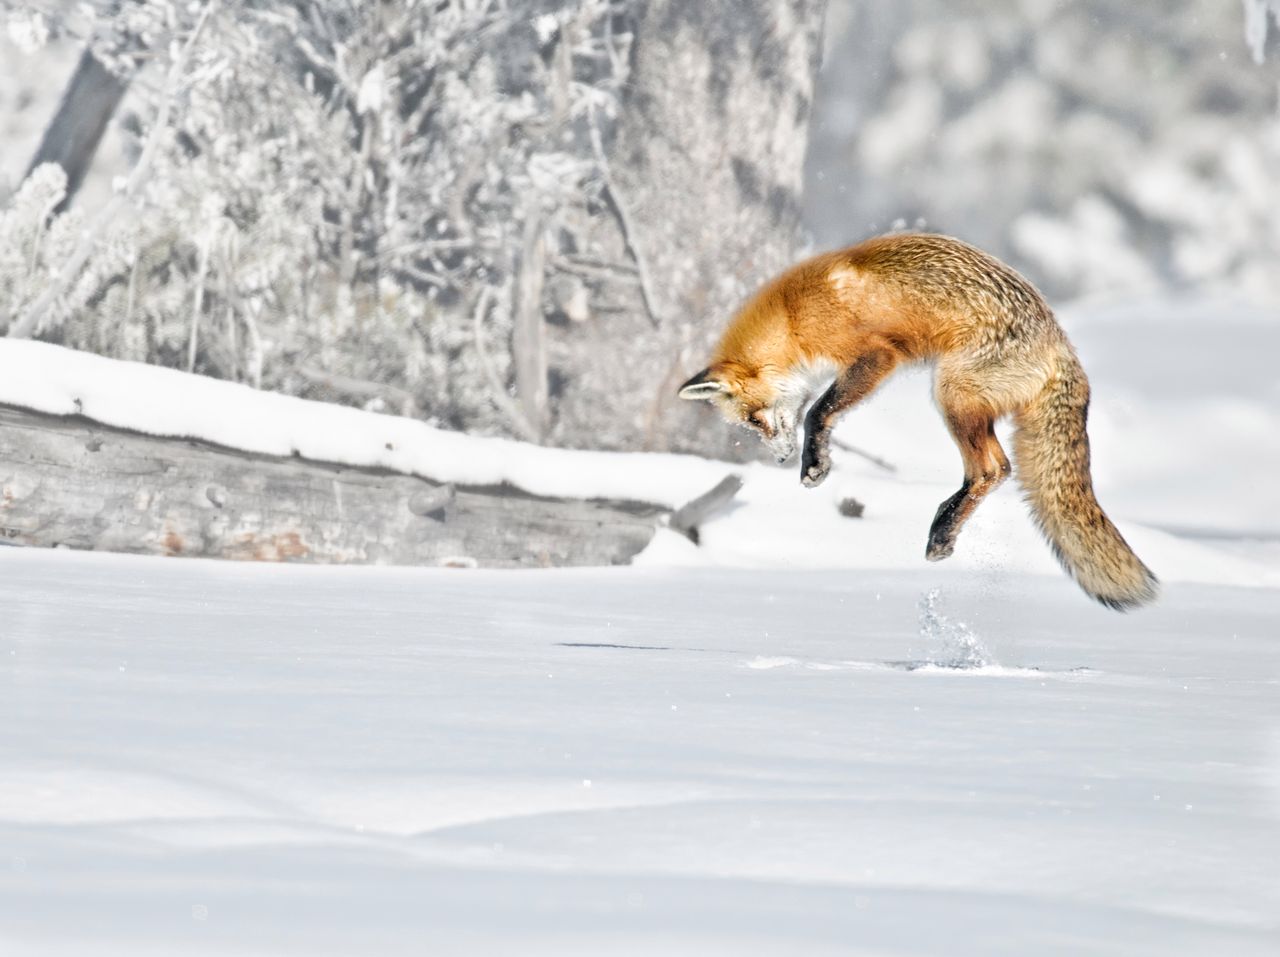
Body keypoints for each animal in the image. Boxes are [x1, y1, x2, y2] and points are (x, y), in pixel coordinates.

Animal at [680, 231, 1162, 609]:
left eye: (754, 419)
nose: (780, 458)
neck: (793, 316)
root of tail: (1061, 345)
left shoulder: (877, 355)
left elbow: (819, 410)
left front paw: (814, 464)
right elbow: (820, 411)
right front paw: (815, 460)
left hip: (952, 392)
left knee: (991, 468)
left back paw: (942, 531)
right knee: (997, 469)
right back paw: (943, 530)